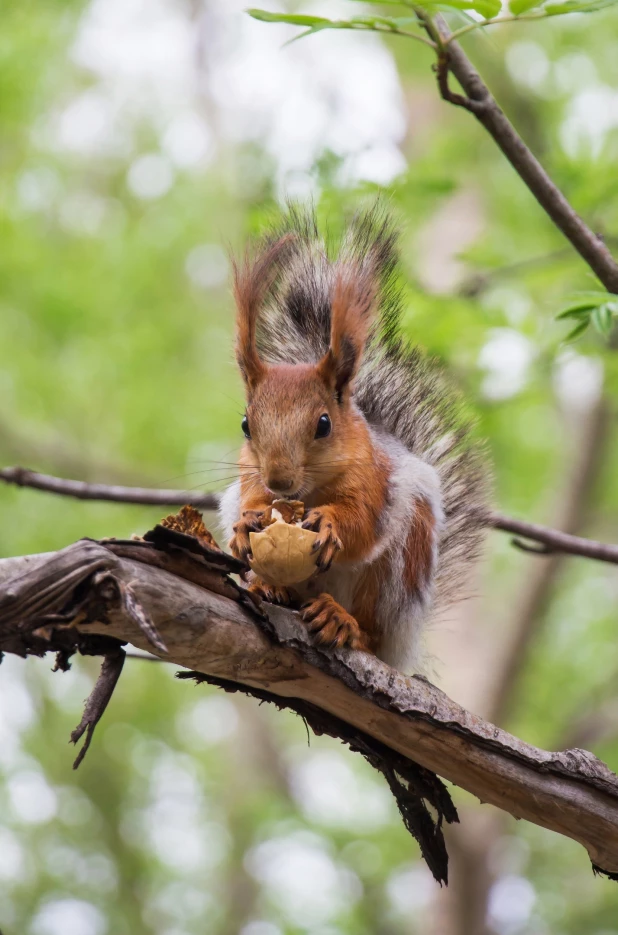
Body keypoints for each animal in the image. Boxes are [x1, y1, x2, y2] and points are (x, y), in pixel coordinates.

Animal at [218, 210, 486, 672]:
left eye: (324, 424)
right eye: (246, 425)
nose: (279, 481)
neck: (308, 492)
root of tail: (404, 648)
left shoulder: (374, 479)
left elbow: (361, 521)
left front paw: (331, 524)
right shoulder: (250, 474)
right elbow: (251, 500)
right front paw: (245, 524)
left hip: (399, 572)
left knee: (373, 628)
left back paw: (344, 622)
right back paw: (269, 588)